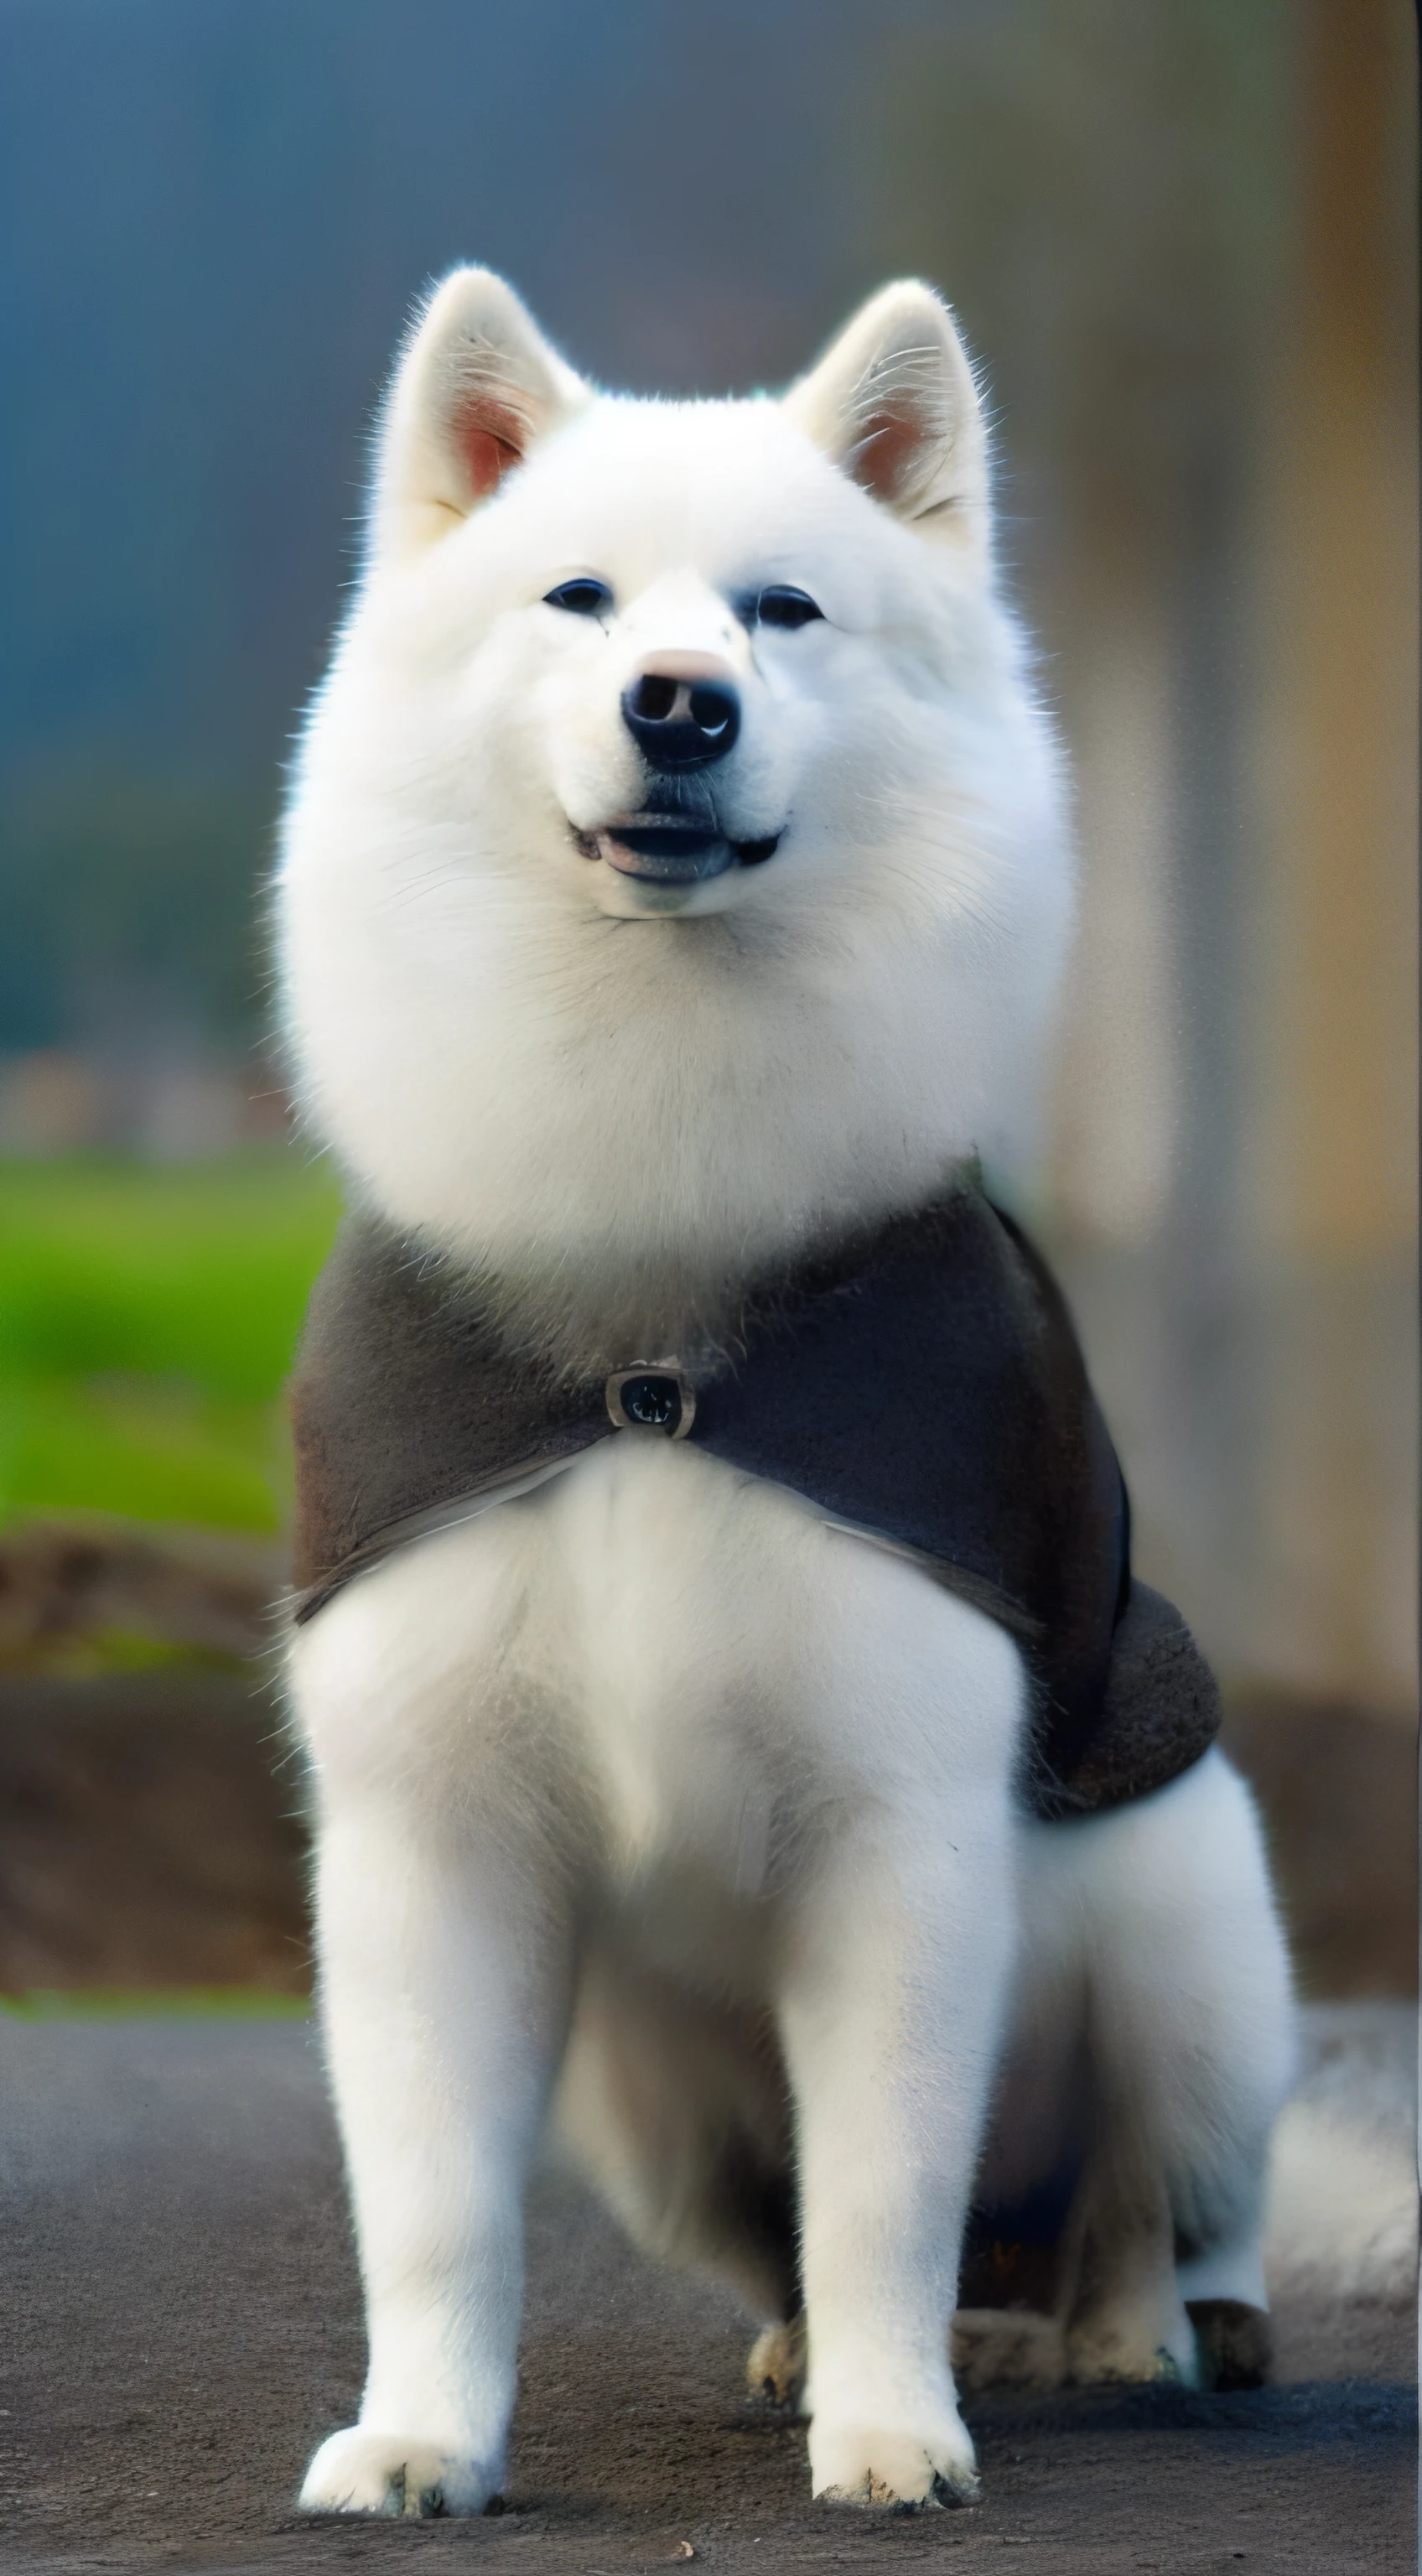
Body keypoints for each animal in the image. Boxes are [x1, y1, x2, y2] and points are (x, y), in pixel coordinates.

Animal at [278, 266, 1298, 2514]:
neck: (653, 1341)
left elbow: (883, 2188)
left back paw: (1128, 2335)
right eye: (577, 598)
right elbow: (439, 2206)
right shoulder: (426, 1842)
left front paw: (894, 2432)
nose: (680, 701)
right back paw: (789, 2345)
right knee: (776, 2229)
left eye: (783, 610)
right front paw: (423, 2438)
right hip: (641, 2100)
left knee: (1142, 2210)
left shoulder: (896, 1836)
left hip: (1193, 1954)